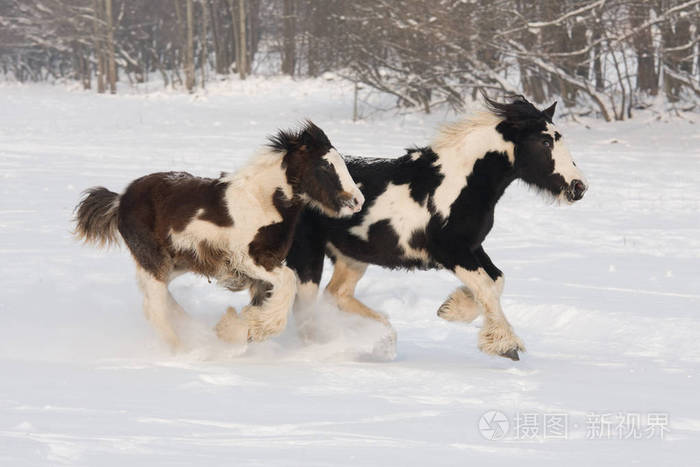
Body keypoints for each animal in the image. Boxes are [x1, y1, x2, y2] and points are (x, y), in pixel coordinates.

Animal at [74, 122, 364, 350]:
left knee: (157, 298)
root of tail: (120, 200)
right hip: (154, 260)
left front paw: (237, 329)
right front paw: (255, 328)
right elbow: (289, 280)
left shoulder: (262, 272)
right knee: (154, 308)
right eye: (325, 166)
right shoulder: (248, 260)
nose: (357, 201)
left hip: (175, 263)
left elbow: (267, 299)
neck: (262, 202)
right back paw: (183, 351)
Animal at [288, 96, 588, 362]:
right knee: (307, 310)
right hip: (308, 256)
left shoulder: (472, 246)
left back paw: (379, 339)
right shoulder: (451, 251)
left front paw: (451, 309)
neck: (459, 183)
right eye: (545, 141)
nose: (579, 187)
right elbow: (486, 285)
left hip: (352, 257)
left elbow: (497, 280)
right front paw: (506, 346)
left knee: (336, 295)